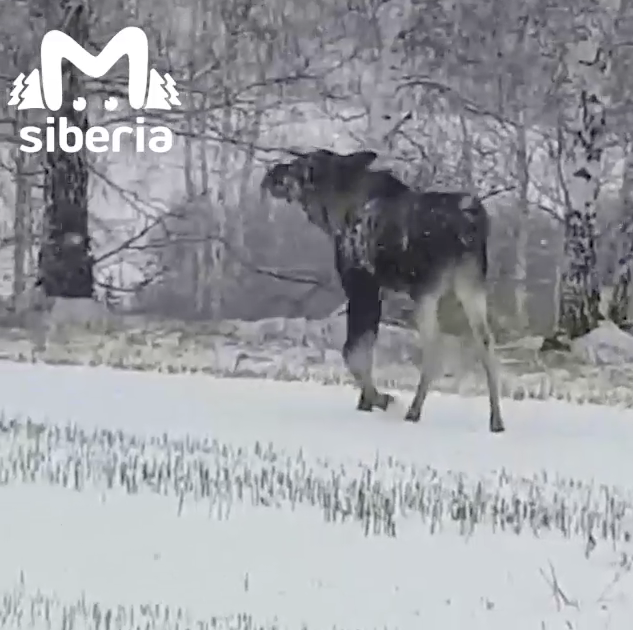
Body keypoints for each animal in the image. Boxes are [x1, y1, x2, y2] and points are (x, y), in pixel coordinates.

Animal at [258, 151, 504, 432]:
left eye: (300, 165)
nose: (272, 172)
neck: (332, 214)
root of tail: (471, 222)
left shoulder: (361, 285)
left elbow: (353, 351)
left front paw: (381, 399)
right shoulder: (379, 293)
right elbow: (364, 350)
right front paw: (366, 402)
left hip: (426, 289)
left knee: (435, 344)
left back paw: (413, 410)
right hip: (471, 284)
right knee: (486, 341)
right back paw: (496, 419)